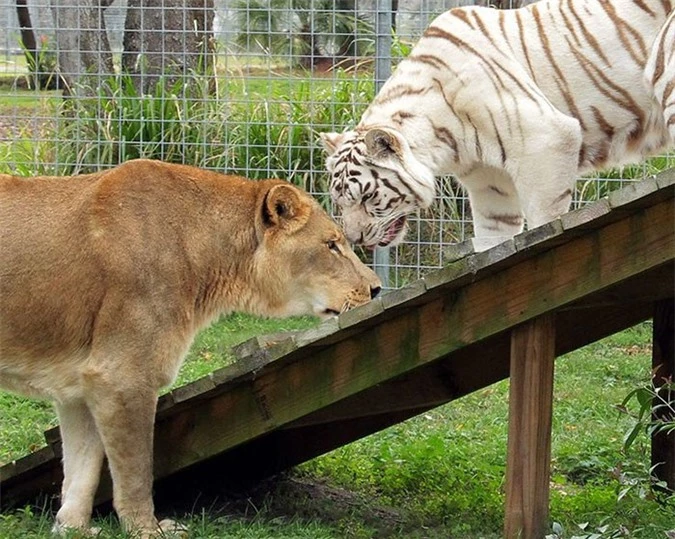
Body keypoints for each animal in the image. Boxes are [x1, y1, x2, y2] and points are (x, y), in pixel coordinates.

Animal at [322, 0, 675, 252]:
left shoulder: (545, 140)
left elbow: (544, 221)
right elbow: (493, 241)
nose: (354, 239)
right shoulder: (490, 184)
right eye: (339, 202)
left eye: (368, 197)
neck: (446, 142)